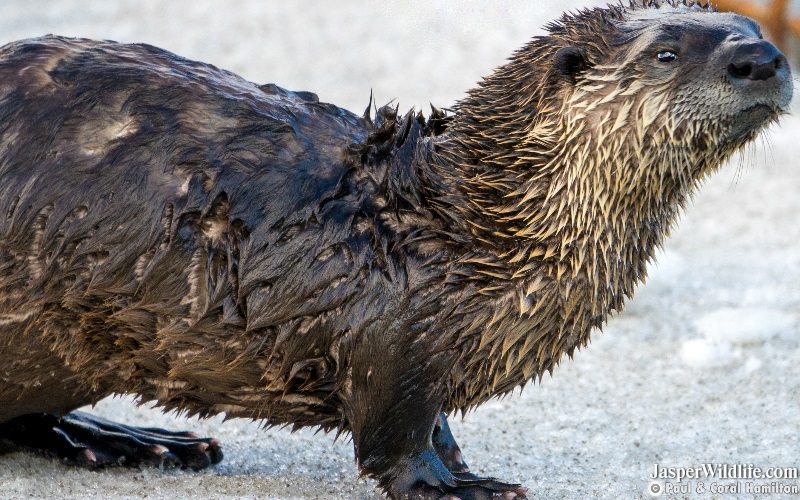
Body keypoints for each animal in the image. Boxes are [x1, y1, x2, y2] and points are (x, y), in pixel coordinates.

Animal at [0, 1, 793, 498]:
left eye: (749, 25)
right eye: (666, 52)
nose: (762, 57)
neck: (459, 231)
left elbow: (437, 421)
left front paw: (460, 464)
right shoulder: (389, 328)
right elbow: (393, 431)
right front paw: (460, 488)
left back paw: (137, 440)